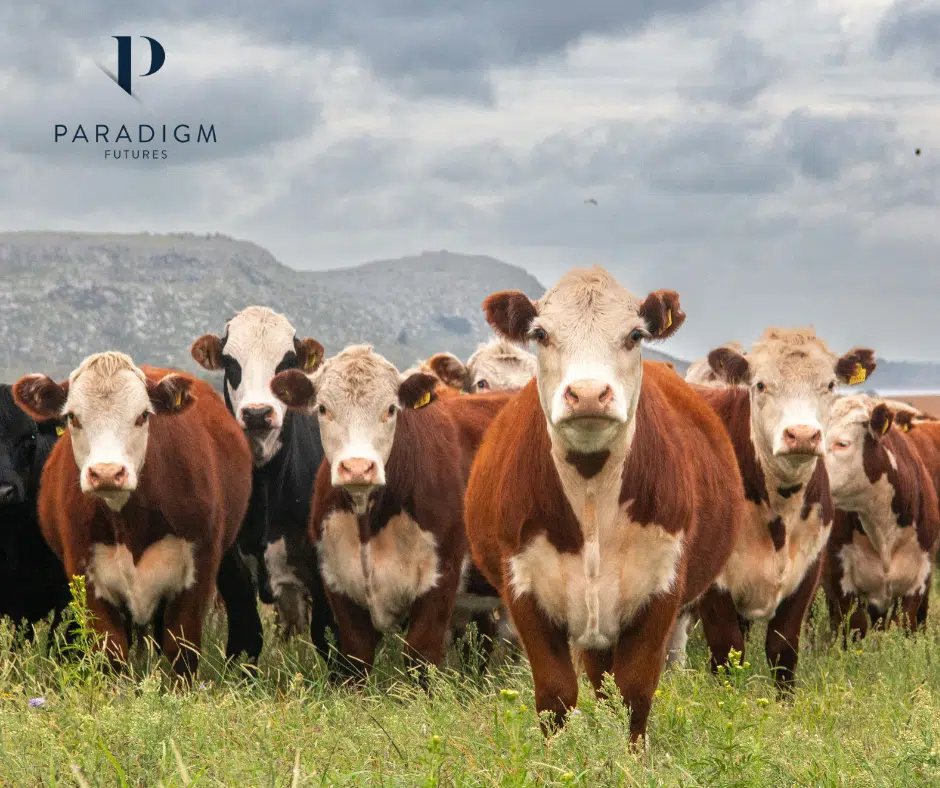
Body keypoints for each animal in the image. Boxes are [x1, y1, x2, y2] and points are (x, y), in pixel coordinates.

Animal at [12, 352, 260, 677]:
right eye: (73, 417)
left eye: (143, 415)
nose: (106, 472)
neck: (131, 523)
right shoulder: (85, 574)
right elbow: (111, 650)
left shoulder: (198, 570)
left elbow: (181, 649)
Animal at [191, 306, 336, 655]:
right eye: (231, 363)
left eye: (287, 363)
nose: (257, 413)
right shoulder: (232, 573)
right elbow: (245, 637)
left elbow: (325, 636)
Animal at [270, 344, 511, 683]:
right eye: (323, 409)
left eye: (390, 409)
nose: (358, 467)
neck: (368, 523)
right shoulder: (337, 581)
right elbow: (356, 659)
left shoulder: (441, 577)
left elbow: (421, 658)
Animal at [463, 266, 744, 744]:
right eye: (540, 333)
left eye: (635, 334)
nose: (589, 393)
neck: (592, 495)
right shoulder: (524, 590)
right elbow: (555, 695)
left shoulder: (661, 589)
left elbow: (634, 692)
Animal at [690, 329, 877, 690]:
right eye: (761, 384)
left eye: (830, 384)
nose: (801, 434)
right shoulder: (716, 581)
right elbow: (726, 651)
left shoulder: (807, 567)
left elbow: (783, 649)